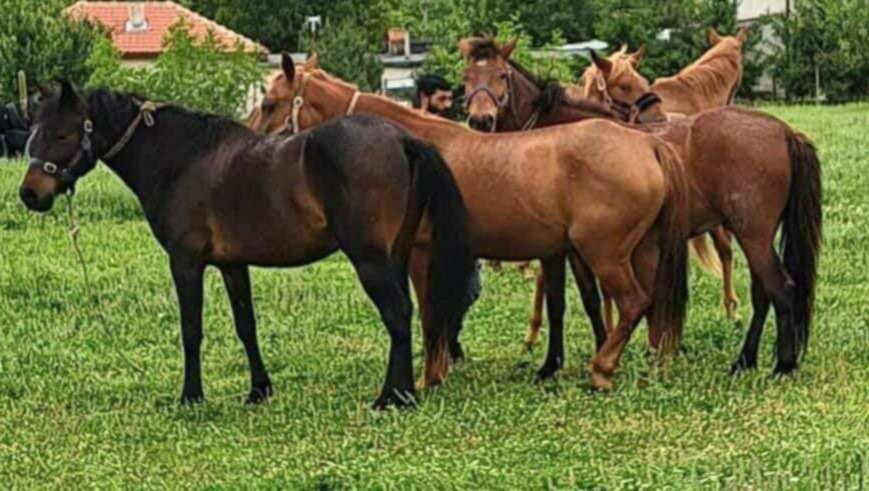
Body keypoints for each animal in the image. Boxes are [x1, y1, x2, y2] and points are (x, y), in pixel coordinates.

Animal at [19, 81, 477, 409]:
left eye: (62, 134)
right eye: (34, 132)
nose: (30, 194)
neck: (184, 160)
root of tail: (401, 139)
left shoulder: (186, 263)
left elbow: (191, 330)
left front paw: (191, 397)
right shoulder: (232, 265)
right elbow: (246, 327)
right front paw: (259, 390)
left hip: (370, 260)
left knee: (397, 315)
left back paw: (390, 398)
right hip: (394, 257)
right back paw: (404, 392)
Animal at [248, 54, 691, 390]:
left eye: (269, 102)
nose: (253, 147)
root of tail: (647, 144)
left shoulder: (422, 254)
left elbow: (430, 312)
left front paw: (430, 377)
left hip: (605, 254)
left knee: (634, 302)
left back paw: (602, 370)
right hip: (641, 251)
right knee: (655, 302)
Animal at [461, 36, 822, 376]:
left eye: (503, 75)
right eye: (466, 77)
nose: (481, 119)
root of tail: (784, 132)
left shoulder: (558, 250)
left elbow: (561, 303)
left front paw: (553, 364)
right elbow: (591, 300)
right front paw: (602, 348)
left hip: (753, 235)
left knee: (781, 289)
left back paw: (782, 365)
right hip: (753, 236)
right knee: (763, 294)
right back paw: (745, 360)